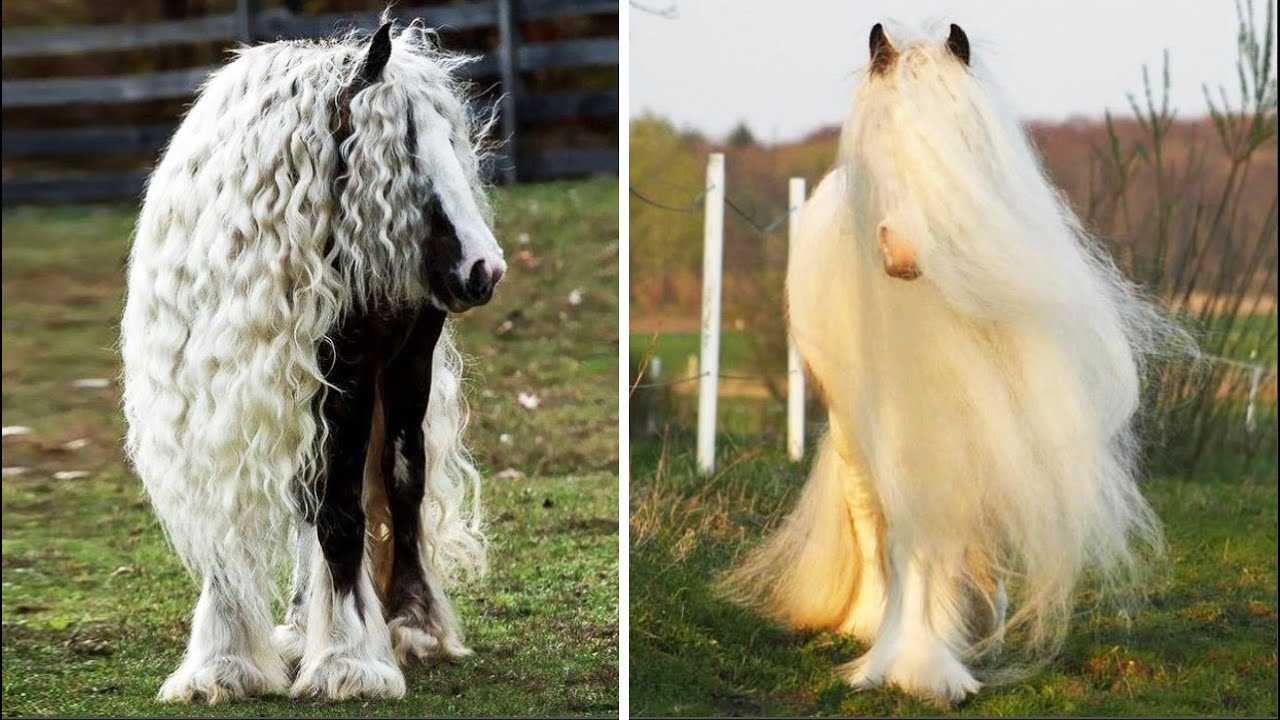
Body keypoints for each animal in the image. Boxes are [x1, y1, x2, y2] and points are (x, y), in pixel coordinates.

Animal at [120, 20, 505, 703]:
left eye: (449, 141)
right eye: (405, 149)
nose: (483, 268)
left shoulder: (346, 379)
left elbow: (344, 512)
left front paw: (349, 659)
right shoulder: (213, 405)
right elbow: (241, 520)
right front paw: (224, 663)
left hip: (405, 369)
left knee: (401, 480)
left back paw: (411, 625)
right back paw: (303, 627)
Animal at [719, 22, 1184, 706]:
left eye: (960, 135)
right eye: (877, 139)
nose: (904, 251)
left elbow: (966, 528)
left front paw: (955, 641)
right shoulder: (900, 432)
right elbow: (909, 539)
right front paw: (912, 664)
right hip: (854, 432)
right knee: (871, 521)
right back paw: (872, 624)